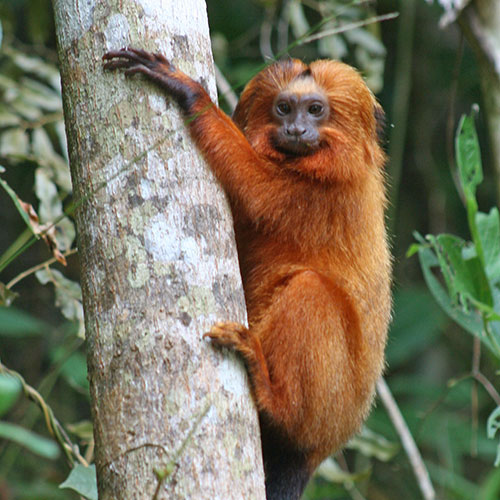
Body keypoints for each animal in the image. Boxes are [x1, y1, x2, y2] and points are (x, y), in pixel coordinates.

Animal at [103, 47, 392, 500]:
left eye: (315, 110)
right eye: (284, 108)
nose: (295, 129)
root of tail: (318, 451)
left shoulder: (321, 192)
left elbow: (254, 188)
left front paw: (191, 93)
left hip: (329, 405)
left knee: (310, 290)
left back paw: (273, 399)